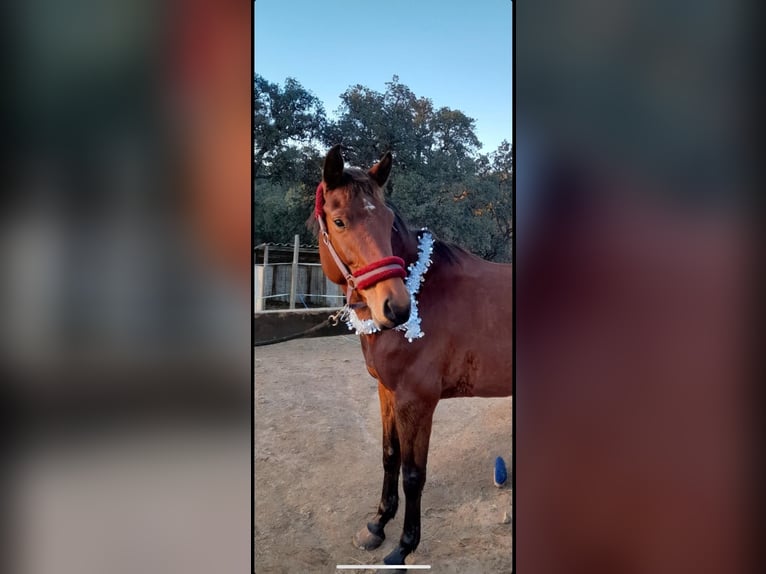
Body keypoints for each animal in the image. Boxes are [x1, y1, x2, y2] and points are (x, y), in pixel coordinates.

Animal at [310, 144, 513, 566]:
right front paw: (377, 525)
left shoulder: (417, 402)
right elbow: (390, 455)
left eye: (388, 221)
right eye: (339, 221)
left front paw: (403, 546)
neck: (426, 290)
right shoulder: (388, 393)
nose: (397, 308)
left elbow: (413, 473)